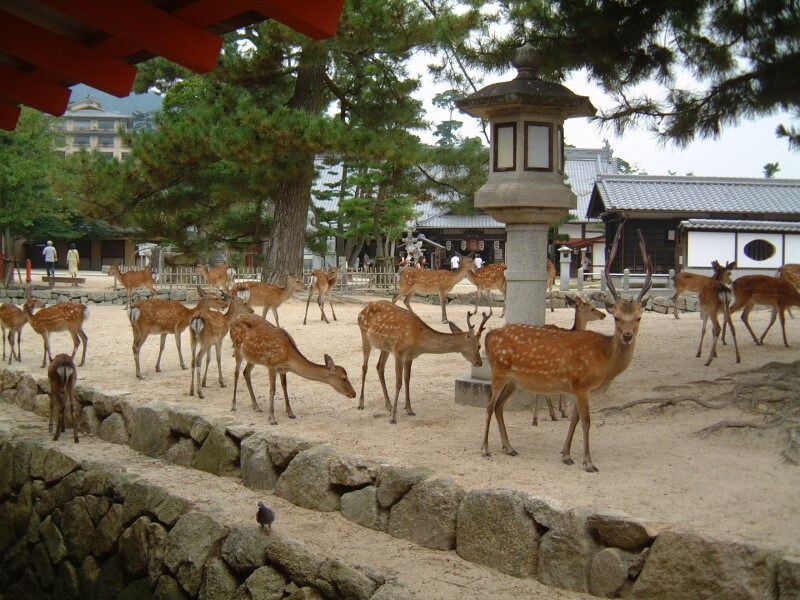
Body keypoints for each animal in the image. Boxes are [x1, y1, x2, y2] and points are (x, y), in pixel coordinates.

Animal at [357, 300, 490, 424]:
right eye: (479, 346)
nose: (480, 362)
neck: (418, 339)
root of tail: (361, 312)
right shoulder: (398, 352)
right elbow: (398, 383)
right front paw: (393, 418)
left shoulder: (409, 356)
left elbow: (407, 380)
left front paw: (409, 409)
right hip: (364, 336)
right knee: (364, 367)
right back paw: (361, 403)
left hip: (384, 347)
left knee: (379, 367)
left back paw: (388, 405)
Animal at [532, 295, 607, 425]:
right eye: (592, 308)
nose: (604, 314)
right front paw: (563, 410)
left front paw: (561, 409)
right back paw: (550, 415)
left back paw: (538, 418)